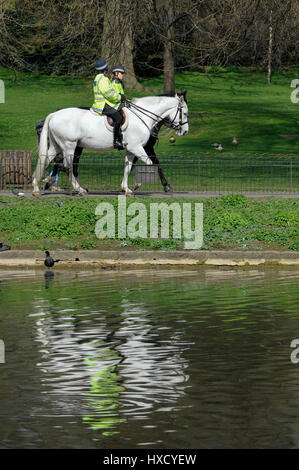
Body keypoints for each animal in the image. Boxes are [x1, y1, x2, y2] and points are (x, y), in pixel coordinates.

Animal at [32, 92, 188, 196]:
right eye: (185, 113)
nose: (185, 131)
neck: (141, 117)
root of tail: (54, 114)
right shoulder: (138, 147)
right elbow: (151, 163)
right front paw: (139, 184)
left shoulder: (131, 149)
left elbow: (128, 168)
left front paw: (126, 189)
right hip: (69, 146)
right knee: (68, 167)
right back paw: (77, 189)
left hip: (58, 146)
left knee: (48, 162)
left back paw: (37, 186)